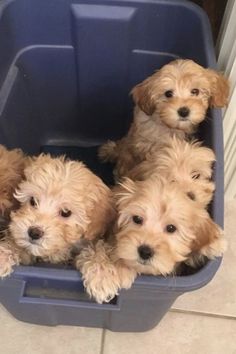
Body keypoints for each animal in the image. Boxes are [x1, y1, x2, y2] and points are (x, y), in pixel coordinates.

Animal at [76, 178, 226, 302]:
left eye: (171, 228)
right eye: (137, 219)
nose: (145, 251)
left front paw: (214, 242)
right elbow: (96, 251)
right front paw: (103, 279)